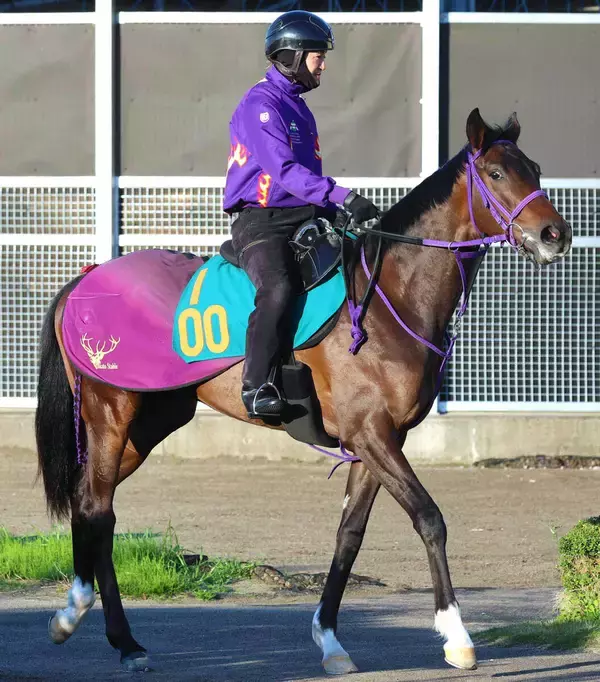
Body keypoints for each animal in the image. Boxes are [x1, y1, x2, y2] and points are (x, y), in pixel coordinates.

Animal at [35, 108, 571, 675]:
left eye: (535, 169)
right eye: (495, 173)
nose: (555, 234)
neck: (388, 295)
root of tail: (84, 280)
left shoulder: (378, 442)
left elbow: (349, 536)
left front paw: (330, 640)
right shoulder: (372, 435)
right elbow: (430, 519)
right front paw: (456, 634)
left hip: (150, 423)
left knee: (91, 504)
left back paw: (87, 619)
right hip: (111, 416)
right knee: (97, 508)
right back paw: (107, 631)